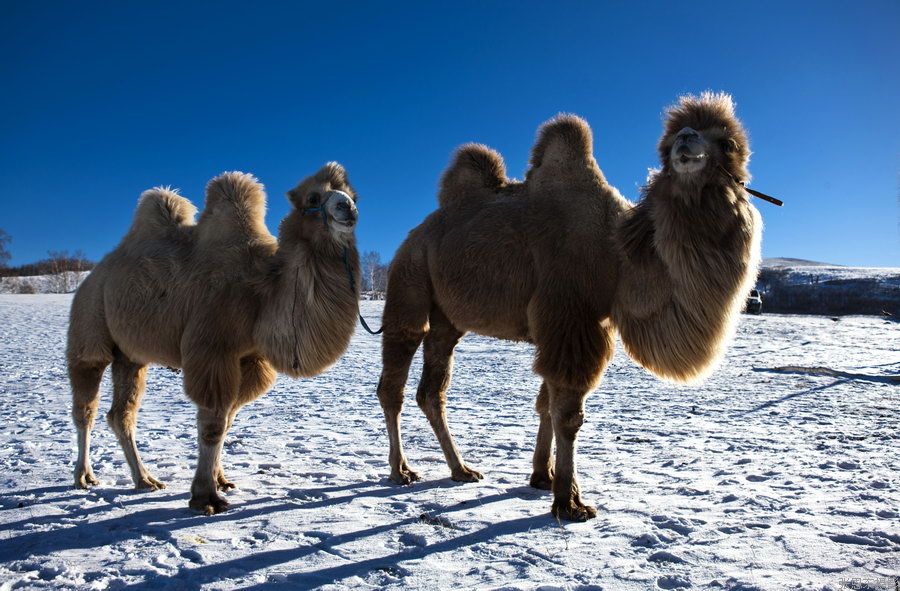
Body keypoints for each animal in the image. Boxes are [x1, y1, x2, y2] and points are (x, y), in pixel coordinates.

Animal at [68, 164, 360, 516]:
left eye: (353, 193)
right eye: (314, 198)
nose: (348, 208)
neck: (261, 289)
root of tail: (94, 274)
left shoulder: (250, 359)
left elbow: (228, 419)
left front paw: (221, 480)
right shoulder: (212, 349)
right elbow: (212, 425)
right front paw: (205, 497)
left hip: (130, 356)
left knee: (121, 414)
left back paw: (145, 480)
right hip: (89, 326)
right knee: (86, 407)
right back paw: (84, 476)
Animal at [376, 93, 764, 524]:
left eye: (727, 143)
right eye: (671, 142)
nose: (685, 139)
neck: (617, 255)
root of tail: (413, 235)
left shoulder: (569, 325)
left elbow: (546, 404)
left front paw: (541, 478)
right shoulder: (570, 318)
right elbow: (568, 414)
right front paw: (569, 500)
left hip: (447, 320)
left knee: (432, 390)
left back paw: (460, 469)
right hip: (410, 280)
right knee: (393, 381)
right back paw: (400, 470)